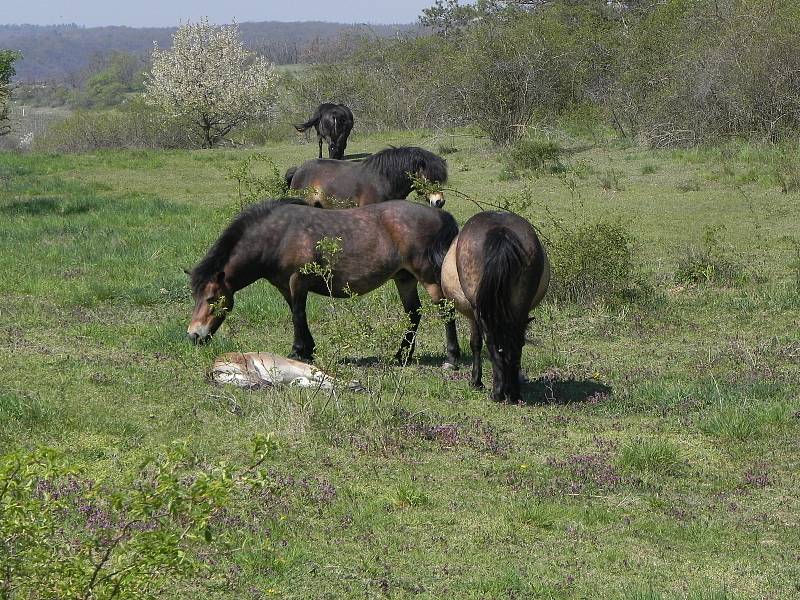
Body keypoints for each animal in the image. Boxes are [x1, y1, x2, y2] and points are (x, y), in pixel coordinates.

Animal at [438, 211, 552, 404]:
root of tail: (501, 232)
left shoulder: (473, 315)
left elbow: (475, 343)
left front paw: (476, 382)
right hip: (519, 309)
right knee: (514, 345)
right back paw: (513, 393)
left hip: (481, 312)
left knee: (491, 341)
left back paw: (497, 393)